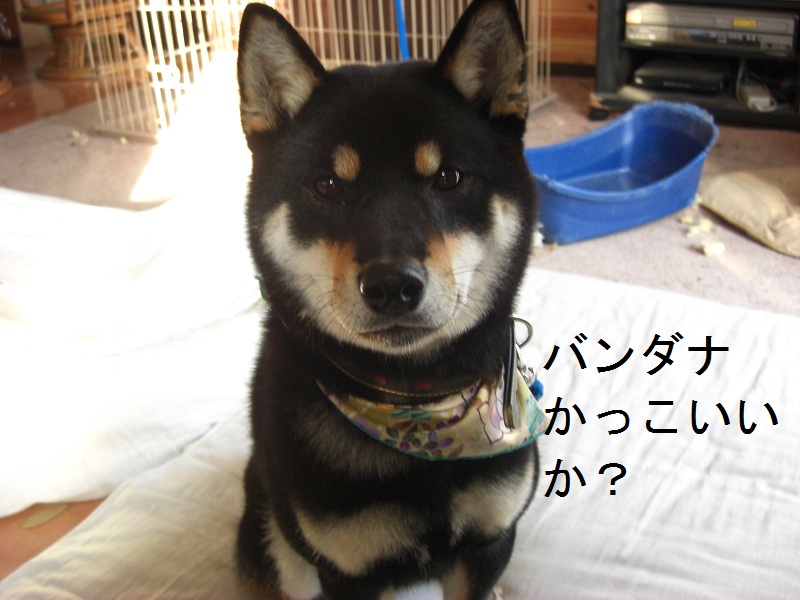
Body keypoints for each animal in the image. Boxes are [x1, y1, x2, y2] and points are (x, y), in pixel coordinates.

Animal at [235, 1, 544, 598]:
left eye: (448, 177)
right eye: (328, 185)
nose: (392, 285)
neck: (419, 407)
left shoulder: (490, 540)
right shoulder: (348, 570)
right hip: (272, 526)